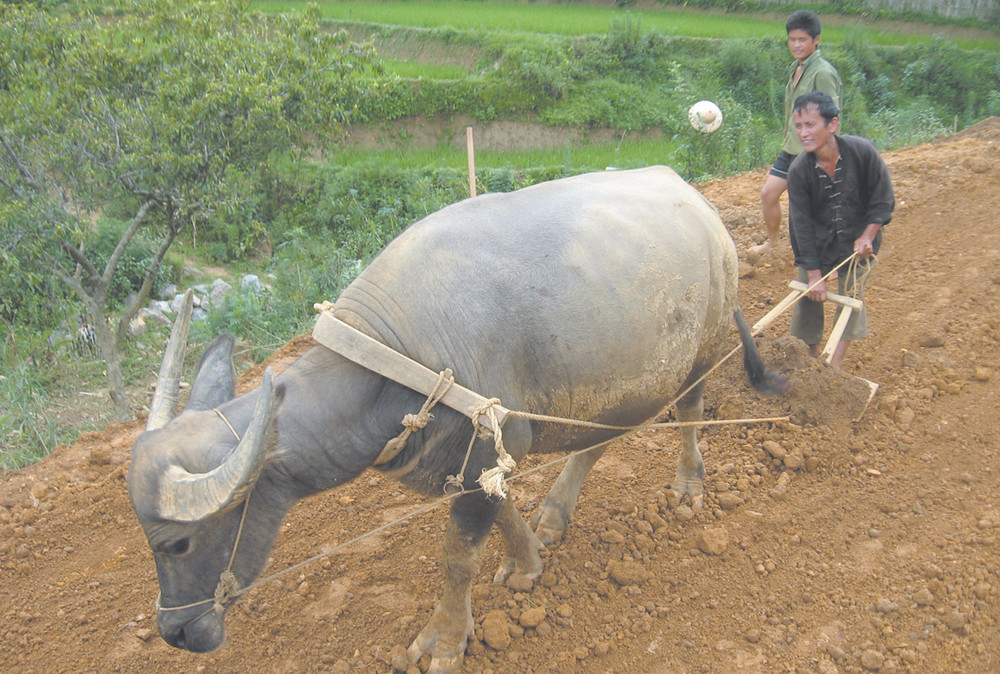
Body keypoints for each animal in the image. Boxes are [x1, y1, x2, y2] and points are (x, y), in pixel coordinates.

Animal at [127, 165, 780, 668]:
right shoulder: (482, 456)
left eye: (177, 543)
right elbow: (504, 509)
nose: (175, 633)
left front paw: (444, 641)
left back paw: (689, 486)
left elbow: (458, 557)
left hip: (702, 353)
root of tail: (697, 201)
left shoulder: (481, 452)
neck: (396, 368)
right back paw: (555, 515)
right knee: (594, 442)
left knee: (690, 414)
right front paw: (528, 561)